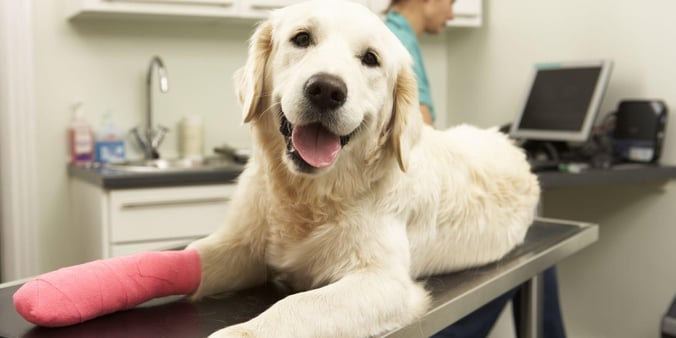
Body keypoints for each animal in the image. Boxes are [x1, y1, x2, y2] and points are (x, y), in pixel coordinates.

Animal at [189, 1, 540, 336]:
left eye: (371, 59)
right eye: (301, 38)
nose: (326, 90)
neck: (310, 195)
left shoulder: (385, 281)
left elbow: (295, 305)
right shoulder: (242, 246)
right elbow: (195, 255)